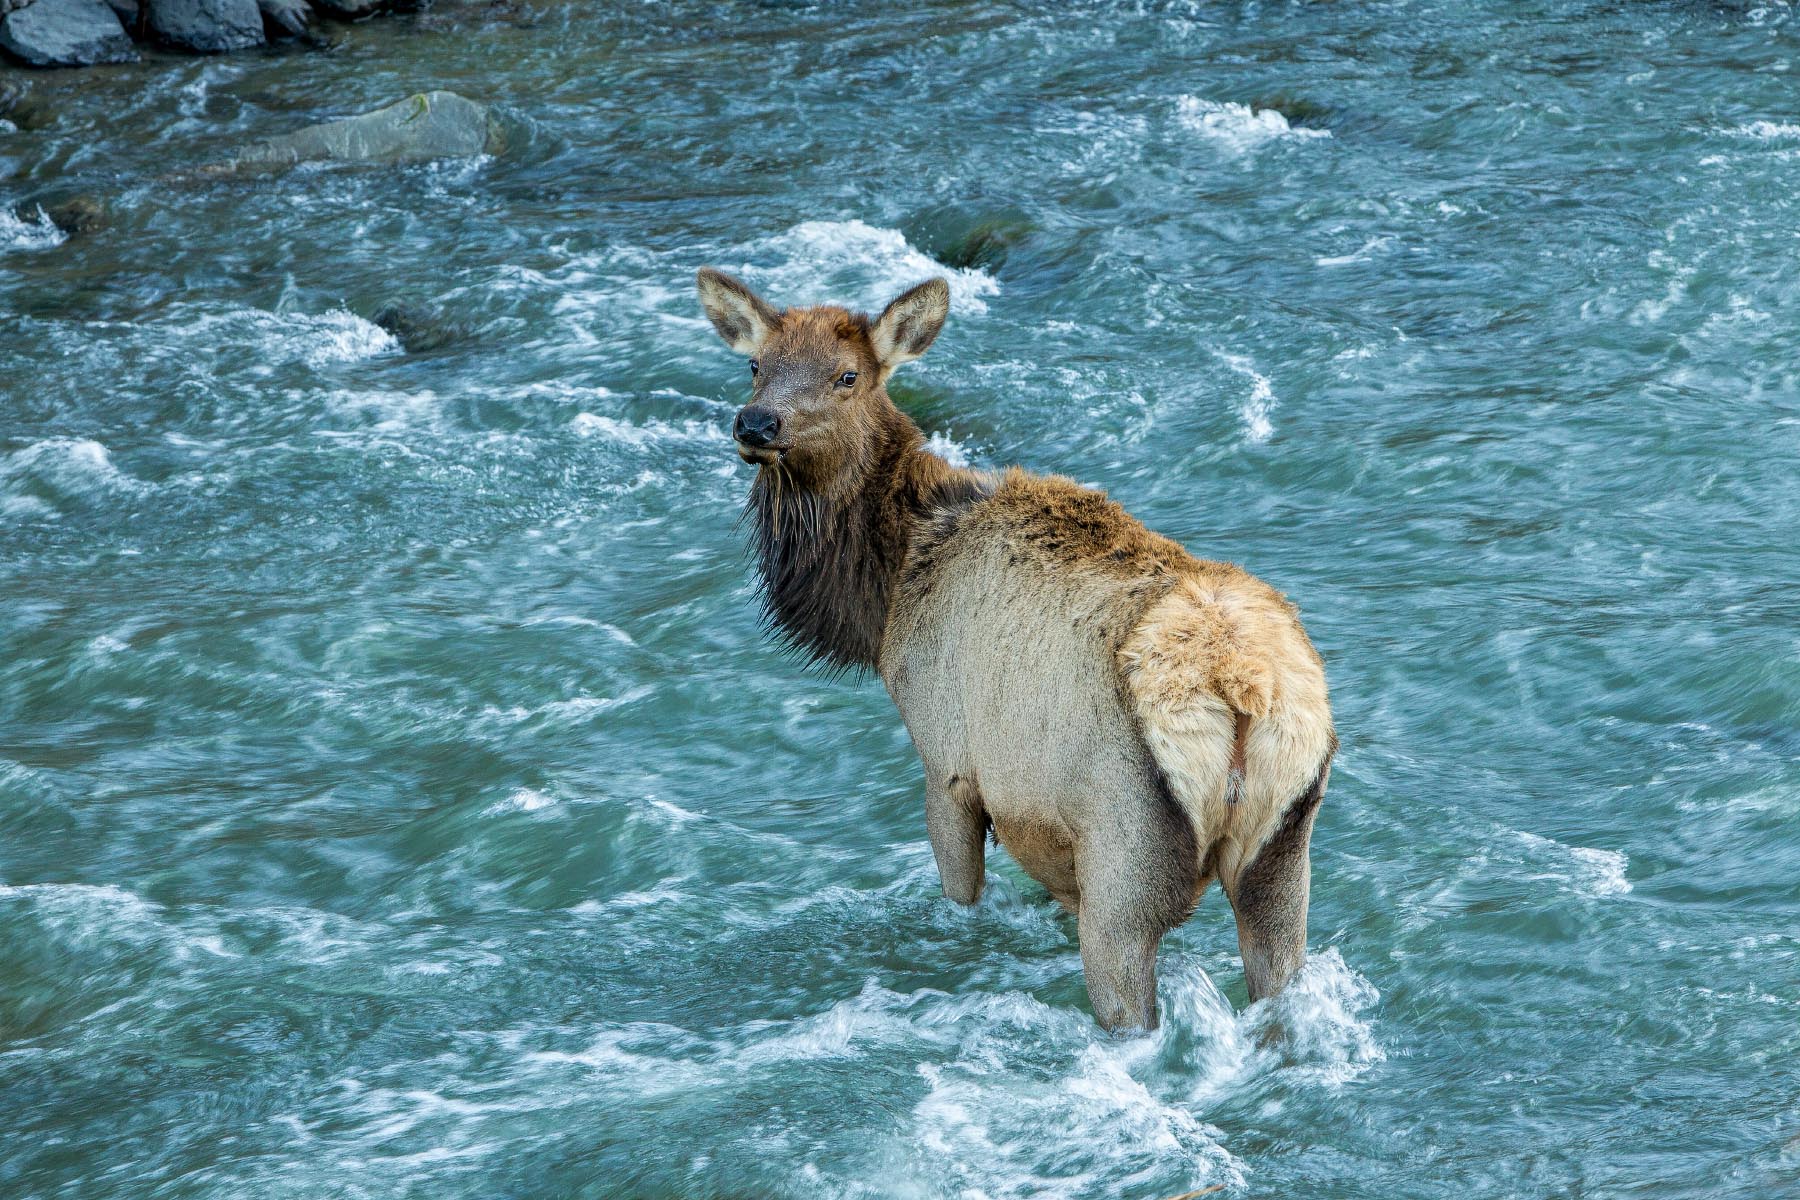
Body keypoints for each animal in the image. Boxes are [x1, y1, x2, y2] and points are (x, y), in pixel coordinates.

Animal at [694, 269, 1332, 1036]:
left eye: (848, 375)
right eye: (757, 365)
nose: (757, 425)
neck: (891, 587)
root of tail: (1240, 694)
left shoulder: (947, 760)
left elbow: (961, 891)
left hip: (1128, 858)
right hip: (1284, 852)